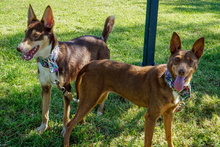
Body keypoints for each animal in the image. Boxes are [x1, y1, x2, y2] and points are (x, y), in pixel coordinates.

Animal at [16, 4, 114, 133]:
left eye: (36, 35)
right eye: (25, 32)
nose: (18, 48)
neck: (49, 61)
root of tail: (101, 39)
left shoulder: (66, 88)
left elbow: (65, 115)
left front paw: (64, 129)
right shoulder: (45, 88)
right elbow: (45, 112)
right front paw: (43, 128)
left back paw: (99, 111)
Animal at [62, 32, 205, 146]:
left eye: (191, 61)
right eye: (177, 59)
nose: (181, 71)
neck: (167, 81)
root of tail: (90, 64)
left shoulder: (168, 114)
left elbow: (169, 136)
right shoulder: (150, 117)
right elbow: (148, 142)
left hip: (97, 97)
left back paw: (83, 123)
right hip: (90, 99)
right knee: (69, 125)